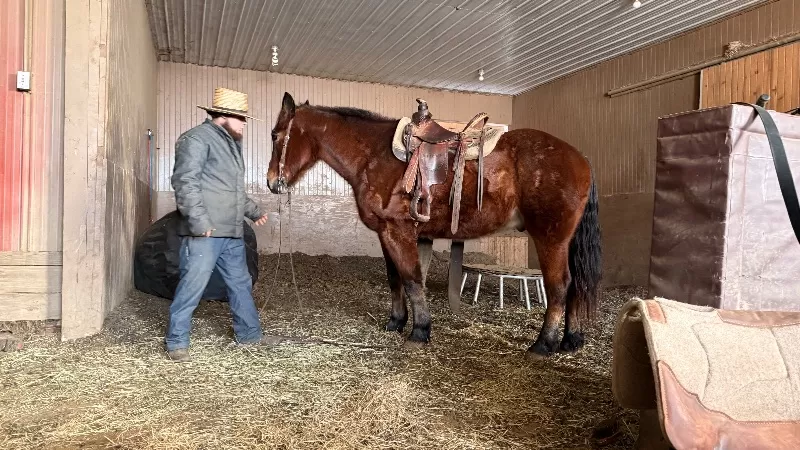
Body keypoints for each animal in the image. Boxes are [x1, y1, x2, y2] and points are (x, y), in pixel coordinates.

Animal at [268, 92, 600, 358]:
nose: (272, 183)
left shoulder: (398, 231)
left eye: (275, 135)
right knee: (574, 286)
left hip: (550, 239)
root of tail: (581, 159)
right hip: (565, 241)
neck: (373, 155)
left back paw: (543, 345)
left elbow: (412, 279)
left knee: (559, 286)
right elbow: (395, 279)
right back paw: (571, 339)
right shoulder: (385, 234)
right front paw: (396, 322)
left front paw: (419, 331)